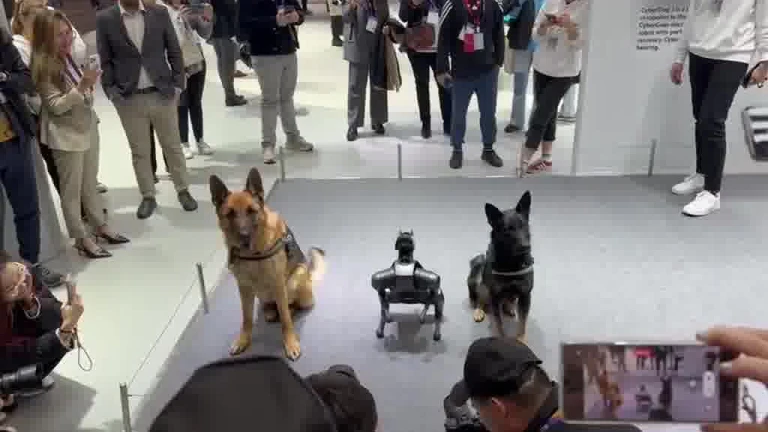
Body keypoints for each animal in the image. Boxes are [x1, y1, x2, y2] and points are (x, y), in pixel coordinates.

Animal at [209, 168, 326, 360]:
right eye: (230, 213)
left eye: (251, 211)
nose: (244, 237)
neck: (253, 254)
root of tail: (309, 275)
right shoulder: (244, 287)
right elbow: (246, 318)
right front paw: (243, 340)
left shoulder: (278, 284)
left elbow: (285, 320)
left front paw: (290, 342)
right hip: (260, 293)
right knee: (270, 306)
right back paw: (270, 311)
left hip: (295, 279)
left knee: (291, 307)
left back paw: (288, 310)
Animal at [467, 191, 533, 341]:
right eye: (507, 230)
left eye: (523, 225)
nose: (526, 247)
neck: (511, 262)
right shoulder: (495, 296)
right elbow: (498, 323)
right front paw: (501, 339)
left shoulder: (525, 295)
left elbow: (522, 323)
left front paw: (521, 340)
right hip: (479, 276)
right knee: (479, 299)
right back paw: (478, 310)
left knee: (509, 301)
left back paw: (509, 307)